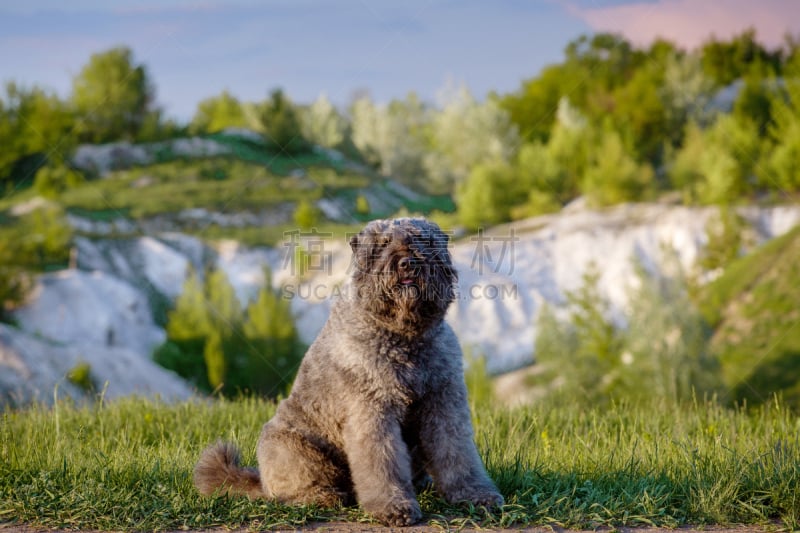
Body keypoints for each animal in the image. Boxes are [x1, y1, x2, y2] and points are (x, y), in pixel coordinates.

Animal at [194, 216, 504, 524]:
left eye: (424, 240)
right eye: (382, 244)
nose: (407, 263)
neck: (404, 338)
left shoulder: (443, 404)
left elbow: (457, 452)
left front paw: (476, 495)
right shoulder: (372, 410)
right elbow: (382, 461)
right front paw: (393, 506)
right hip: (291, 448)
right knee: (292, 489)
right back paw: (323, 496)